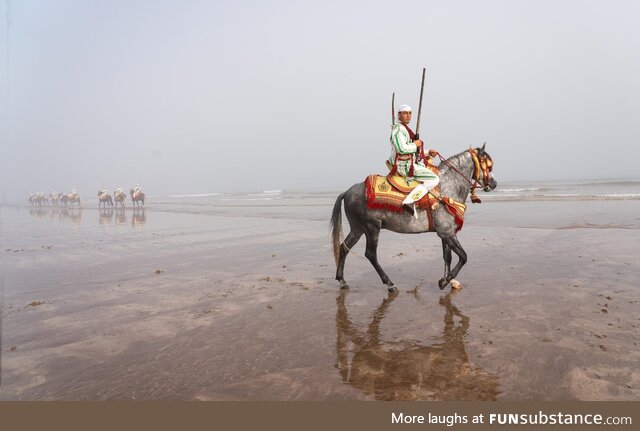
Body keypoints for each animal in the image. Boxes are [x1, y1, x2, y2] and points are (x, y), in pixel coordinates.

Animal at [332, 143, 498, 292]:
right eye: (488, 165)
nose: (494, 183)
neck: (447, 187)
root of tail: (347, 192)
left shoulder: (446, 233)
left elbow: (447, 257)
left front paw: (447, 280)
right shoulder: (446, 233)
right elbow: (463, 257)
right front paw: (446, 281)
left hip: (358, 228)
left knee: (344, 247)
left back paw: (342, 280)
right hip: (371, 227)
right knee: (370, 254)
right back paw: (390, 284)